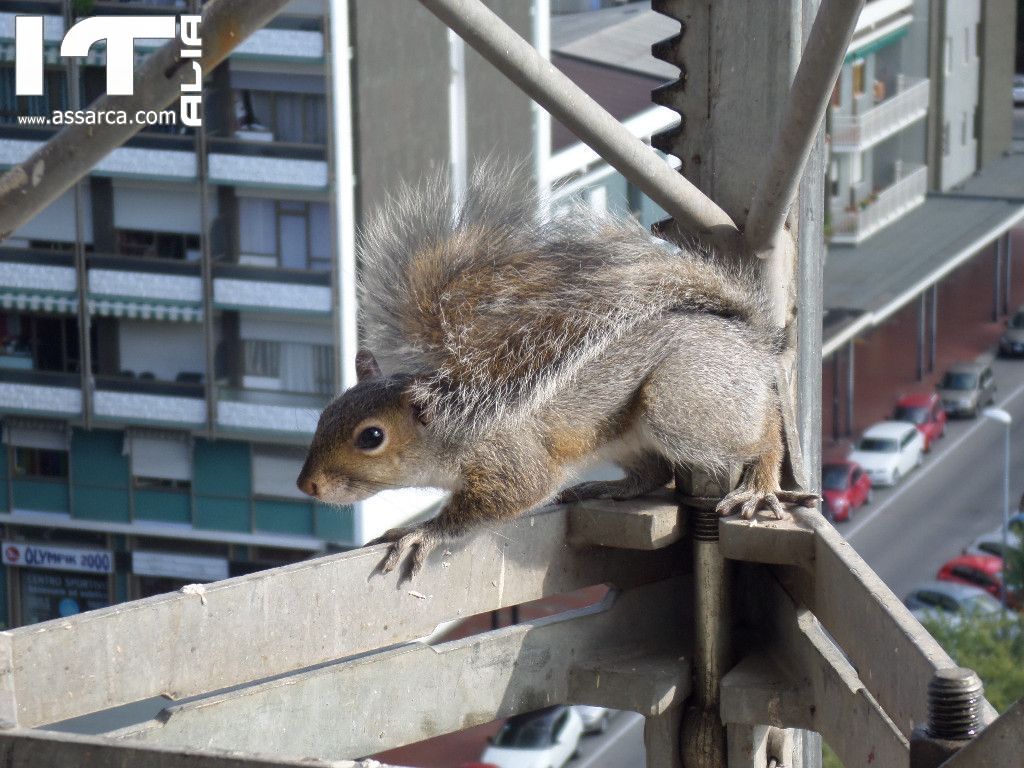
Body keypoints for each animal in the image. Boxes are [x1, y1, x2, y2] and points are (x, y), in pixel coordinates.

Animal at [294, 165, 815, 581]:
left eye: (371, 437)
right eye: (324, 415)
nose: (307, 486)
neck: (457, 421)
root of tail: (751, 341)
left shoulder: (510, 460)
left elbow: (513, 496)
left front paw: (421, 532)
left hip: (680, 402)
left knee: (762, 430)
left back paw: (761, 482)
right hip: (623, 435)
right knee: (653, 472)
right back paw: (607, 486)